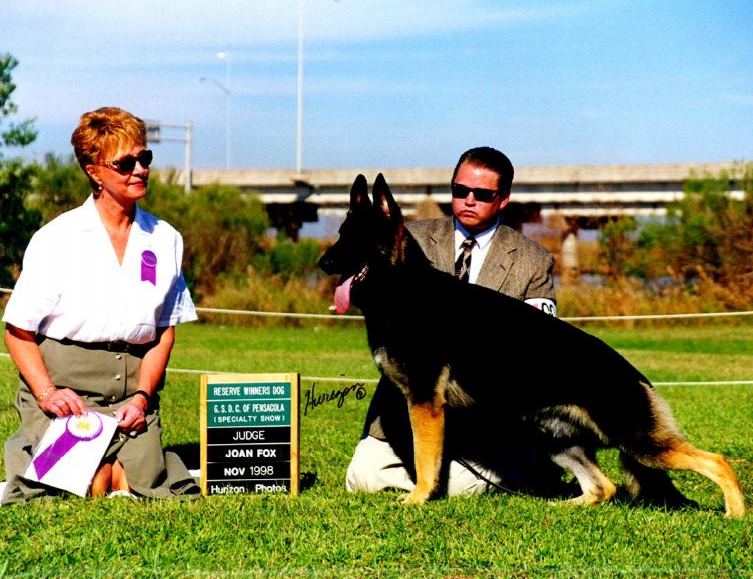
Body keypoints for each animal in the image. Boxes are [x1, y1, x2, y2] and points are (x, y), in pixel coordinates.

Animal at [318, 173, 748, 520]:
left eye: (355, 239)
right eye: (340, 234)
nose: (323, 263)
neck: (403, 290)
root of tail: (637, 378)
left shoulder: (426, 404)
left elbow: (425, 460)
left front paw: (419, 498)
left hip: (637, 442)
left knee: (717, 461)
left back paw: (735, 514)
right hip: (556, 440)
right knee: (603, 487)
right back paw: (564, 505)